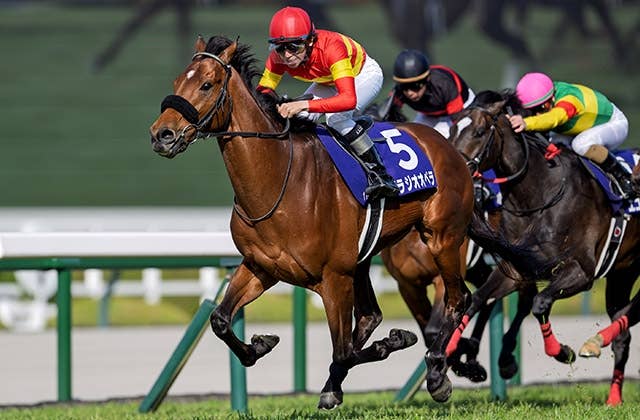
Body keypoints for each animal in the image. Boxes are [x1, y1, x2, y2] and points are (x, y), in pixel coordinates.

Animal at [148, 35, 544, 406]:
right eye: (177, 81)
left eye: (207, 84)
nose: (161, 135)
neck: (277, 181)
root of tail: (452, 152)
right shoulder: (262, 267)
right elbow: (219, 319)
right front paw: (261, 345)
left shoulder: (334, 276)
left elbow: (344, 349)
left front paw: (397, 348)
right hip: (366, 258)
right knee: (374, 316)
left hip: (443, 238)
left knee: (460, 299)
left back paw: (438, 374)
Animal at [447, 90, 640, 406]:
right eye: (451, 129)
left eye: (478, 131)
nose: (454, 170)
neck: (539, 195)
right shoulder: (515, 270)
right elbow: (476, 301)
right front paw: (452, 354)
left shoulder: (581, 273)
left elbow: (539, 303)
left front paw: (562, 352)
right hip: (623, 272)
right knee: (623, 332)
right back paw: (613, 396)